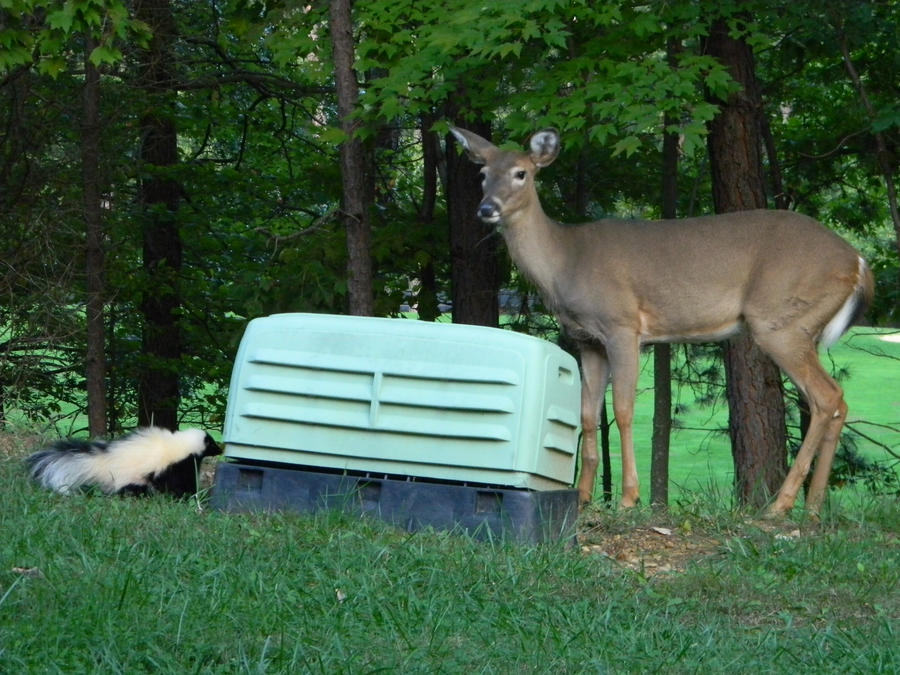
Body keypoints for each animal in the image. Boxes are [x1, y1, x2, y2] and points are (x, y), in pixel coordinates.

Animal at [25, 428, 222, 496]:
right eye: (212, 443)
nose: (220, 449)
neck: (179, 445)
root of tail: (106, 459)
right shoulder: (175, 466)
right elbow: (180, 484)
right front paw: (188, 496)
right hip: (130, 476)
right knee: (129, 488)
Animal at [454, 125, 876, 516]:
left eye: (521, 173)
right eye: (483, 173)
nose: (486, 209)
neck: (564, 263)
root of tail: (858, 263)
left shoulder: (622, 325)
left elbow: (623, 410)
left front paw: (628, 498)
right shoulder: (587, 341)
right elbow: (588, 416)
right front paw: (586, 498)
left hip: (779, 320)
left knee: (826, 396)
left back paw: (781, 505)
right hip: (799, 325)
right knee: (836, 401)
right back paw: (813, 507)